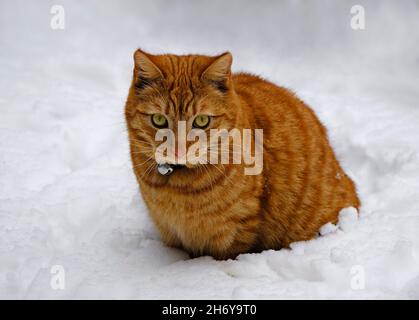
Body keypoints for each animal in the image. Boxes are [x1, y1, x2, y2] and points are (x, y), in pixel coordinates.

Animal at [125, 49, 360, 260]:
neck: (176, 187)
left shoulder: (236, 229)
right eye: (159, 120)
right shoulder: (167, 228)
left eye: (201, 121)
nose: (179, 150)